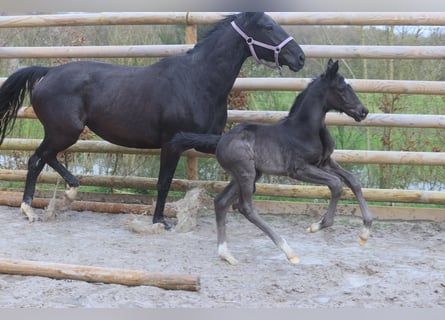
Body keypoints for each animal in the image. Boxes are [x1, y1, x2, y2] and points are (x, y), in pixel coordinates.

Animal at [0, 12, 304, 228]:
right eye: (267, 26)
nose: (299, 57)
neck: (198, 81)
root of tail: (48, 73)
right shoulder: (172, 143)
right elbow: (164, 182)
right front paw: (160, 220)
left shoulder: (203, 140)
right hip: (65, 131)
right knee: (37, 160)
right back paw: (34, 207)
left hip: (61, 132)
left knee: (44, 158)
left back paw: (64, 194)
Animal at [172, 60, 372, 264]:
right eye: (341, 89)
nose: (363, 111)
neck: (305, 130)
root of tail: (220, 140)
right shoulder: (299, 170)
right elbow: (336, 184)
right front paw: (318, 225)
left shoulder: (324, 162)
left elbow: (353, 180)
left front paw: (365, 232)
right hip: (246, 174)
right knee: (246, 208)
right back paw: (288, 250)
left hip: (247, 175)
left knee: (221, 202)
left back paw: (226, 254)